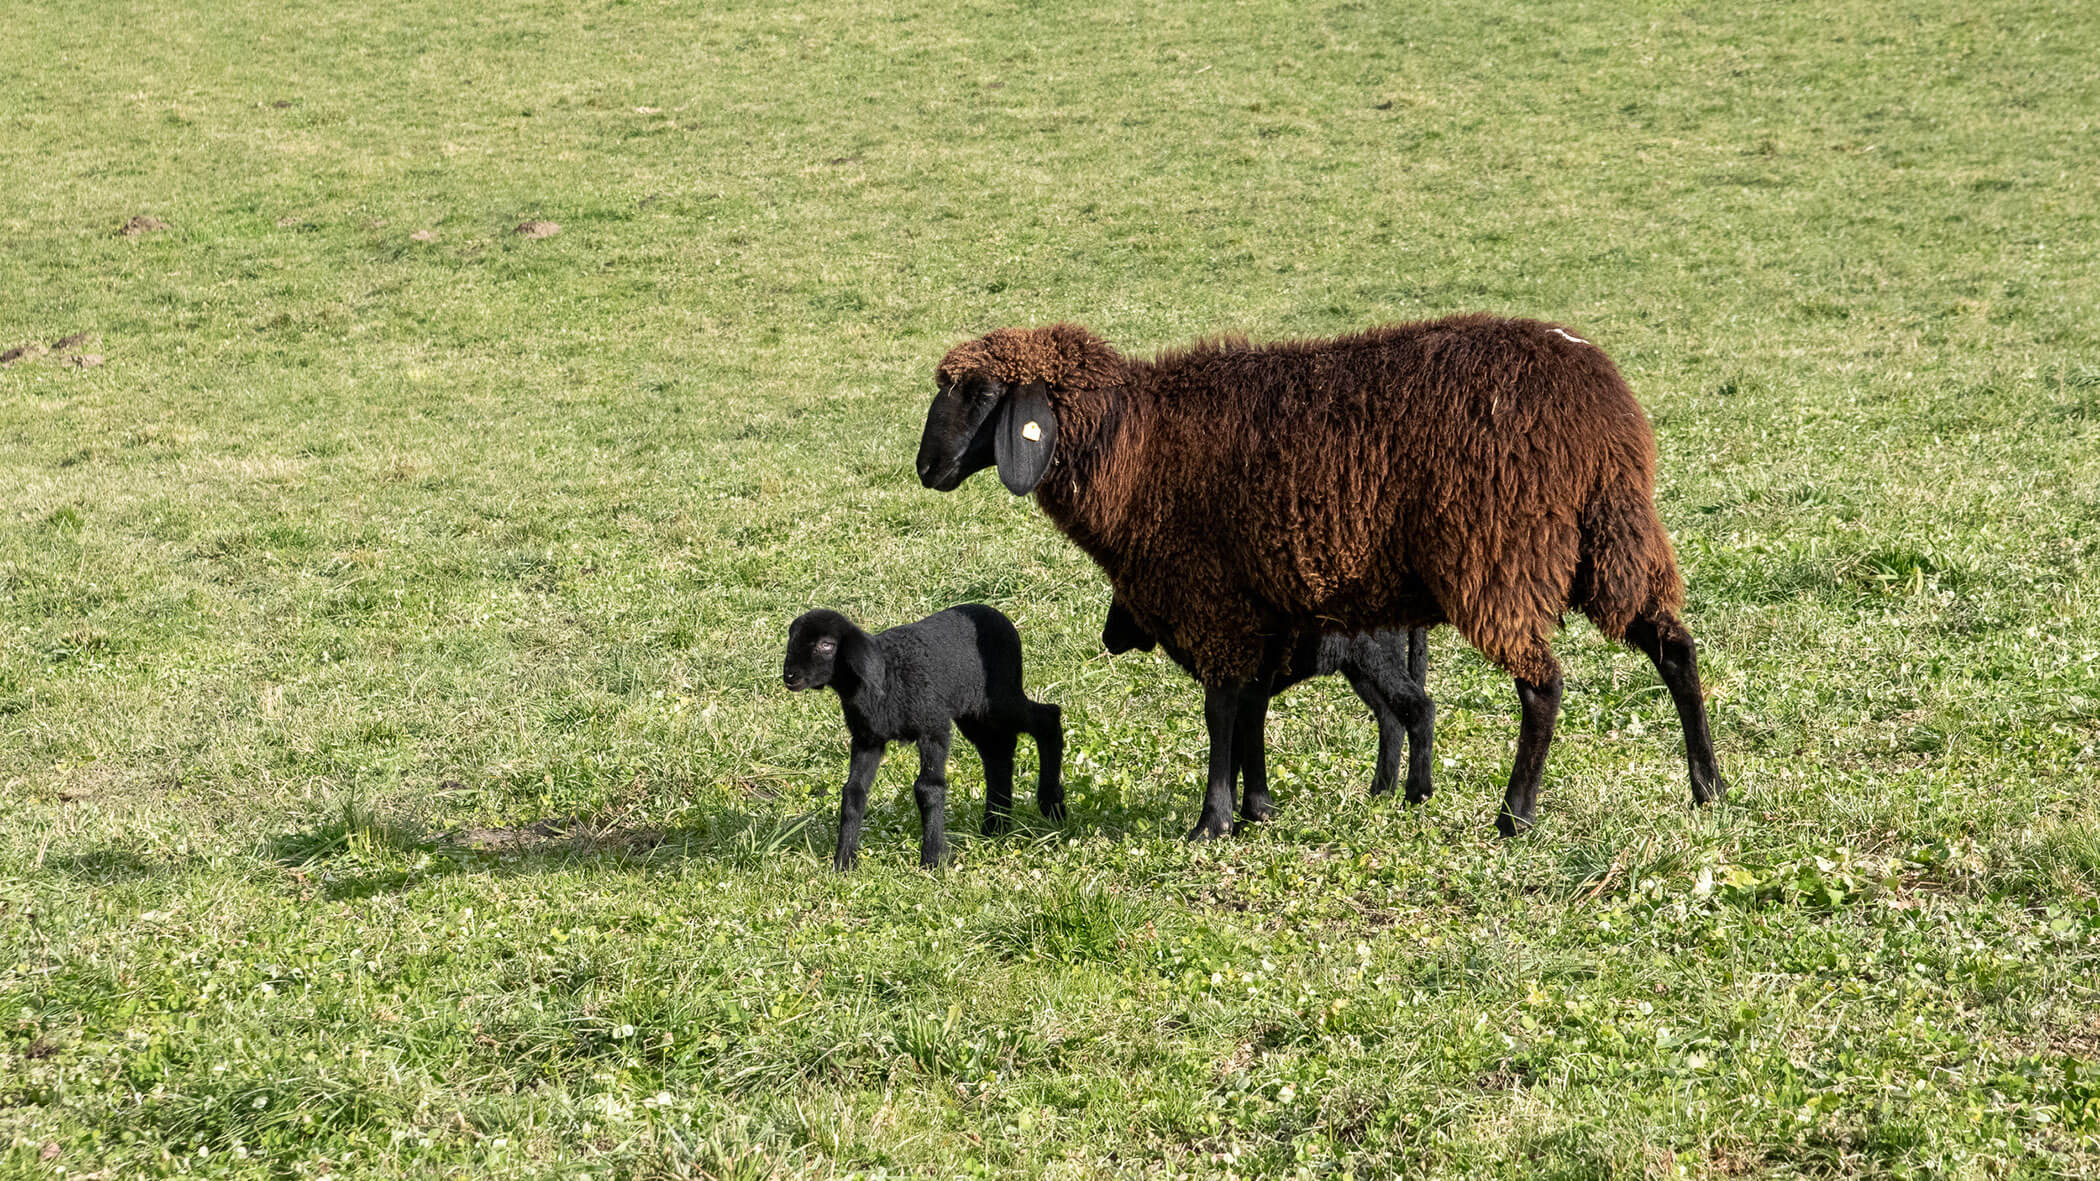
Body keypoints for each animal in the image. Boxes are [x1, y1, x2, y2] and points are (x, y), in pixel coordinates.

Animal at [782, 604, 1063, 869]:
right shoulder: (868, 738)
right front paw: (843, 862)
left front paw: (933, 858)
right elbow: (853, 792)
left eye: (826, 645)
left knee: (1047, 718)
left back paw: (1052, 805)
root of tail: (998, 616)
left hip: (1000, 696)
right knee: (998, 754)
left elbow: (928, 788)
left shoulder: (933, 726)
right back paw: (995, 827)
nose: (789, 676)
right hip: (974, 713)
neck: (886, 676)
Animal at [1103, 598, 1435, 811]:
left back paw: (1415, 796)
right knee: (1391, 718)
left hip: (1374, 657)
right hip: (1361, 667)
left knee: (1419, 708)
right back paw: (1381, 792)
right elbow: (1234, 749)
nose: (1107, 638)